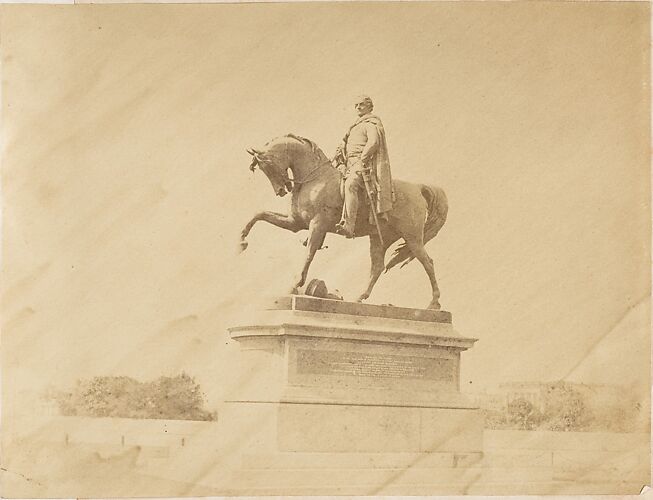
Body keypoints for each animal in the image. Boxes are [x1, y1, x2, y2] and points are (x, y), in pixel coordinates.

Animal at [239, 135, 448, 310]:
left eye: (268, 166)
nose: (281, 190)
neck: (315, 179)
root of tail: (418, 188)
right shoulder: (295, 223)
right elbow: (258, 214)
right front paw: (242, 241)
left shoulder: (317, 225)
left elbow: (309, 254)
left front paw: (295, 285)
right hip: (380, 238)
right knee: (377, 268)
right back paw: (359, 298)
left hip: (412, 238)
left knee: (428, 263)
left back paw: (434, 303)